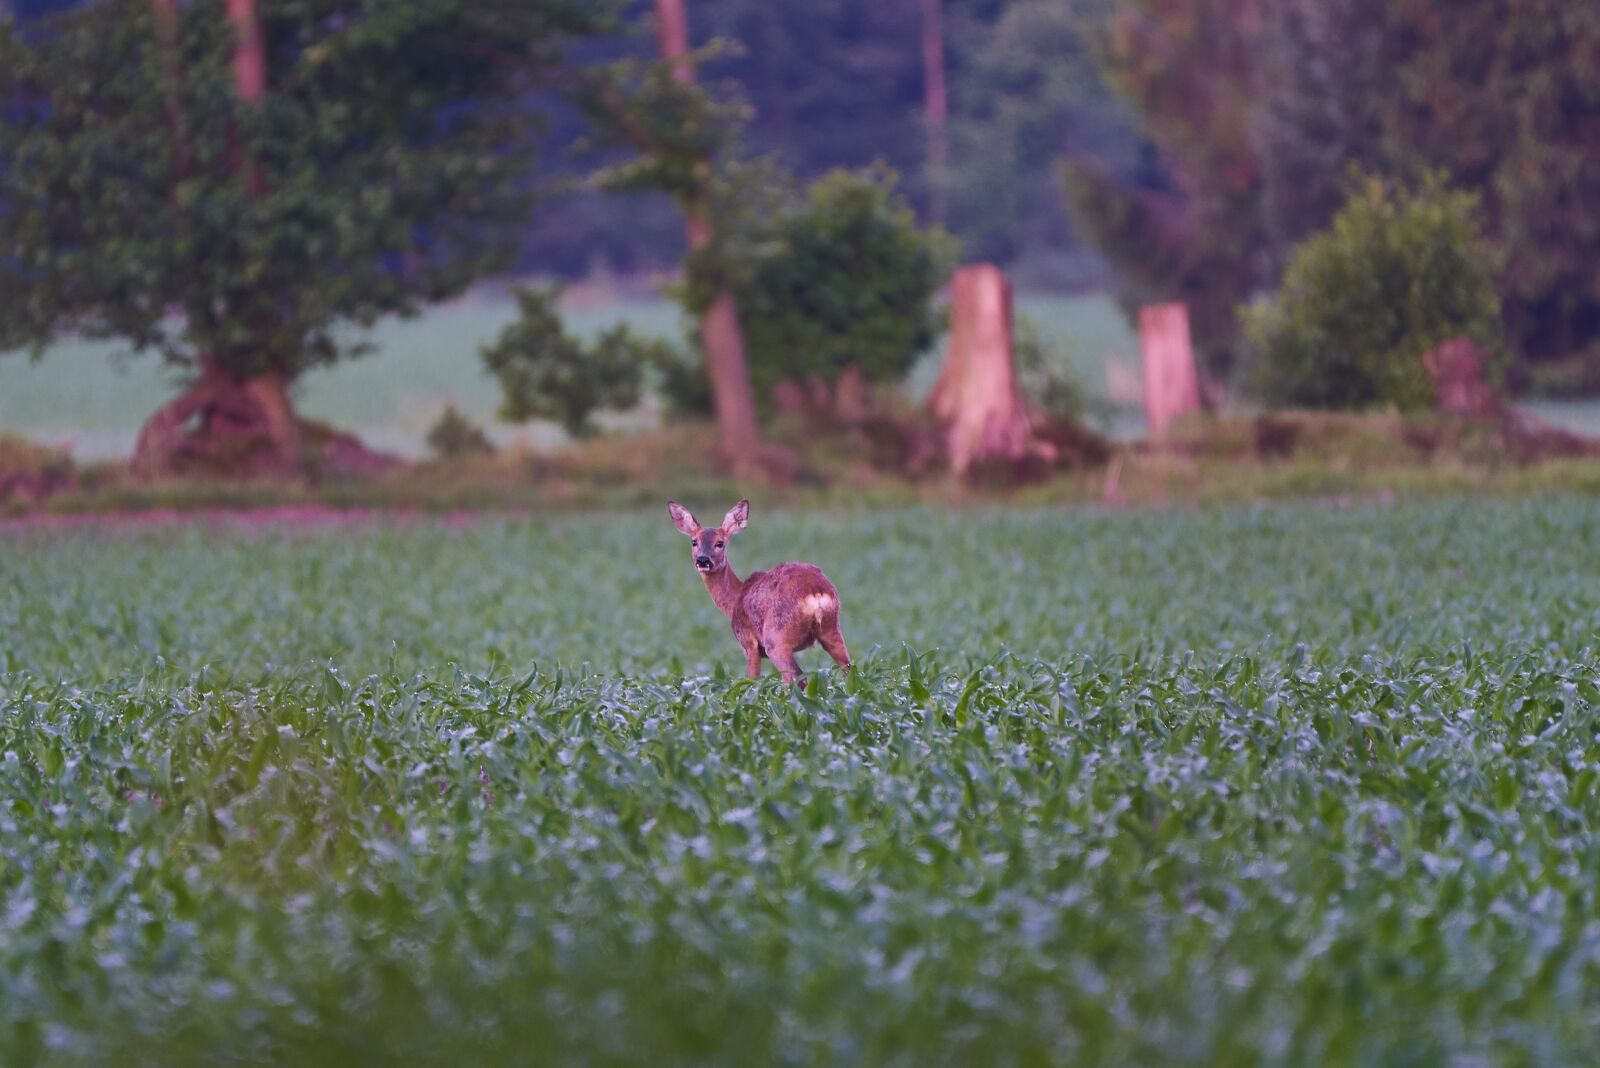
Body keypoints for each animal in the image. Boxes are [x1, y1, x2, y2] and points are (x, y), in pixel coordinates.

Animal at [668, 498, 857, 684]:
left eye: (720, 543)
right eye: (694, 542)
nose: (702, 560)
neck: (735, 599)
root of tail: (816, 593)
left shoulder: (749, 643)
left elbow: (752, 680)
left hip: (776, 638)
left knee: (795, 678)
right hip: (832, 630)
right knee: (850, 670)